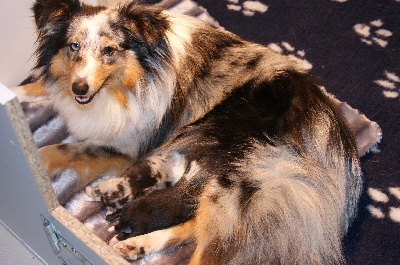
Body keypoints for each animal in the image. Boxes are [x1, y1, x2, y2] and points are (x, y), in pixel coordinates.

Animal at [15, 0, 364, 262]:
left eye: (109, 50)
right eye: (73, 46)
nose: (80, 88)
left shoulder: (126, 145)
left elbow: (56, 149)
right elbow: (40, 88)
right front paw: (16, 94)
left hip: (238, 181)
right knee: (196, 223)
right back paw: (137, 244)